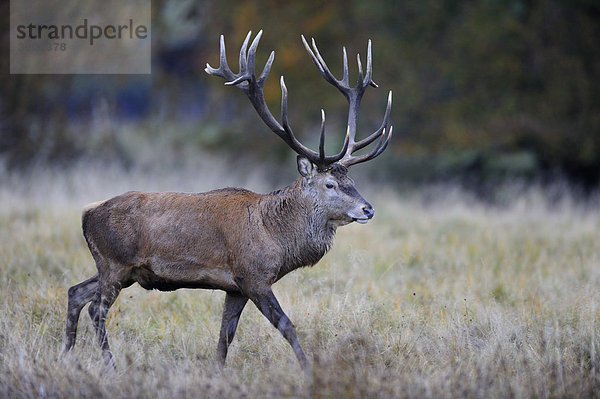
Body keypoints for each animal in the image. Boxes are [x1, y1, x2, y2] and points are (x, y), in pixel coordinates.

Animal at [63, 30, 394, 372]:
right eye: (330, 184)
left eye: (352, 182)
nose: (368, 208)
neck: (275, 236)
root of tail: (87, 213)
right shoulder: (252, 276)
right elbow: (286, 326)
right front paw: (308, 370)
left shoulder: (234, 287)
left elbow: (225, 335)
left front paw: (219, 372)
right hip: (115, 263)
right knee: (96, 309)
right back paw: (110, 366)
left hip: (116, 269)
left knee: (75, 292)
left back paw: (65, 355)